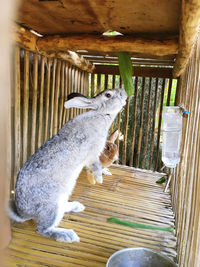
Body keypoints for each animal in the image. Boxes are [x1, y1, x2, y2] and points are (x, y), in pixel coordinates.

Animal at [7, 88, 127, 243]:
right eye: (108, 95)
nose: (124, 93)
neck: (101, 113)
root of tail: (23, 213)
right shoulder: (92, 154)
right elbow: (96, 166)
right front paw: (100, 179)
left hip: (64, 195)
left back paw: (76, 206)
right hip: (51, 207)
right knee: (43, 229)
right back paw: (68, 235)